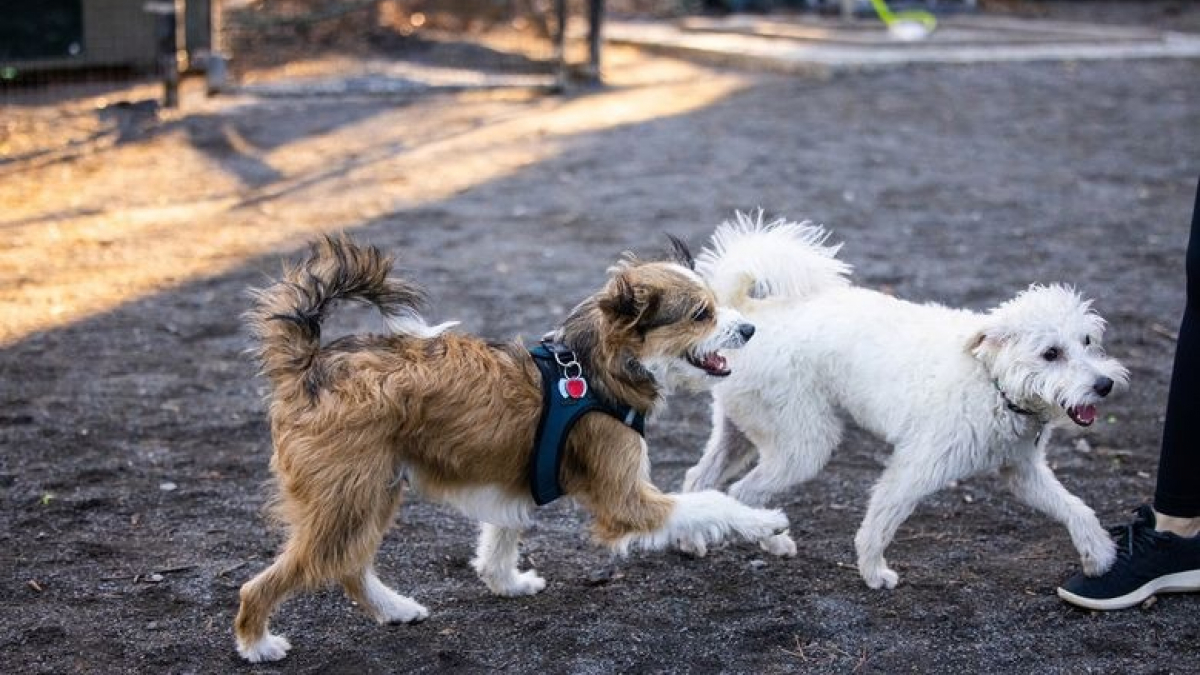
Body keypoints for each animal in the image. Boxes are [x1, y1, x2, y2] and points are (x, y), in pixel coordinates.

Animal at [235, 234, 792, 658]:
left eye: (717, 305)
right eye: (701, 314)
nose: (749, 328)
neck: (596, 371)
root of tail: (309, 367)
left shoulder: (515, 483)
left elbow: (501, 536)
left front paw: (506, 582)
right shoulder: (626, 500)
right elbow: (714, 501)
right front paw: (765, 522)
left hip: (371, 494)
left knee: (350, 566)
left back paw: (394, 609)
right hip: (346, 501)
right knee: (268, 582)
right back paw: (257, 643)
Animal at [681, 212, 1128, 586]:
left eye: (1087, 341)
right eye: (1051, 353)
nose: (1104, 385)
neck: (992, 383)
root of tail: (751, 311)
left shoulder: (1023, 471)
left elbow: (1075, 507)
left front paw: (1099, 555)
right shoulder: (914, 468)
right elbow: (882, 519)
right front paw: (873, 571)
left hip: (740, 432)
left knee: (698, 479)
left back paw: (691, 540)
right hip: (803, 444)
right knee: (745, 492)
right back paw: (772, 540)